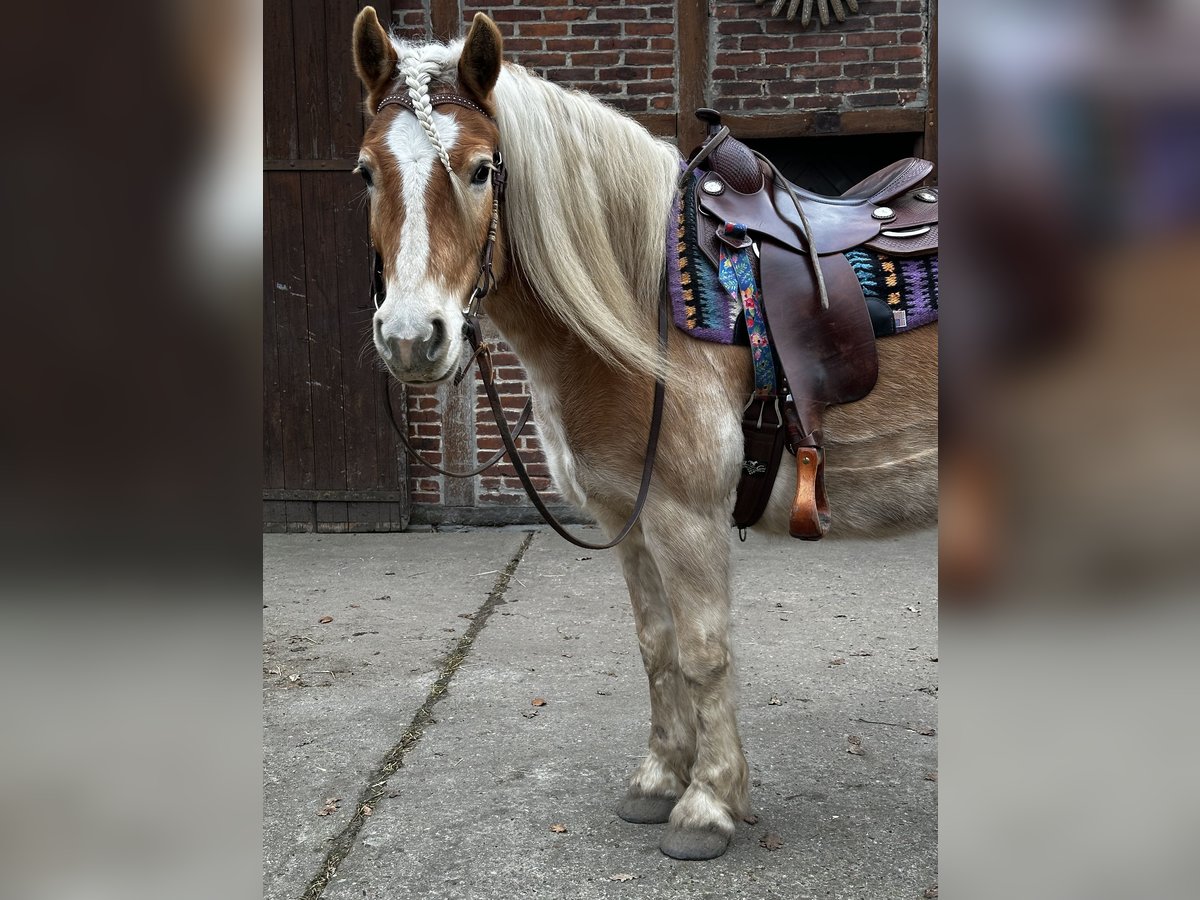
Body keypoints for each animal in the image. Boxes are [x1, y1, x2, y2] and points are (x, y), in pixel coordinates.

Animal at [350, 10, 936, 864]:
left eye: (483, 169)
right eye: (366, 173)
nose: (410, 339)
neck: (637, 303)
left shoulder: (687, 518)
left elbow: (702, 653)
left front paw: (708, 805)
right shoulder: (628, 516)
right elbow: (656, 647)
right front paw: (660, 781)